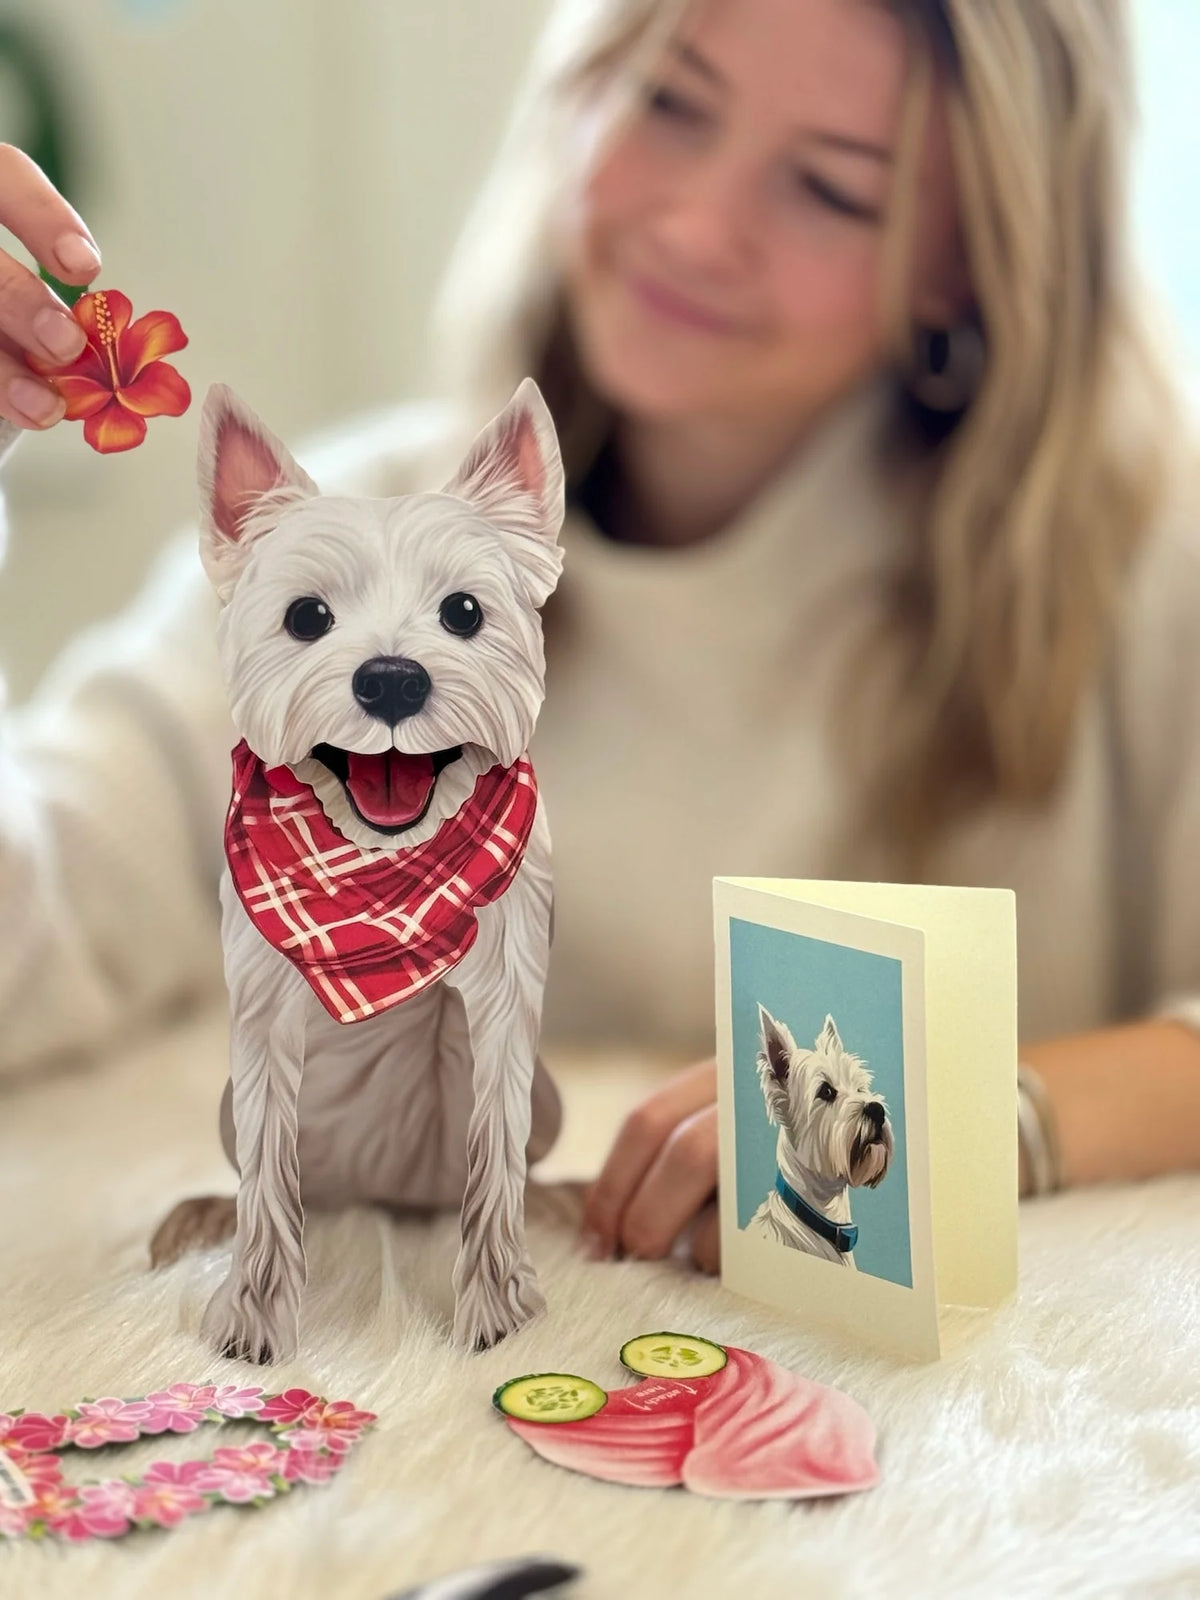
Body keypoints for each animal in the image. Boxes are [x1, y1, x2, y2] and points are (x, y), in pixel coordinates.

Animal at [155, 374, 569, 1363]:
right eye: (307, 616)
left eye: (465, 611)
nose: (391, 679)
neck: (379, 873)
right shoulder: (262, 1014)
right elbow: (269, 1174)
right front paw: (252, 1316)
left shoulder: (508, 1000)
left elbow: (495, 1153)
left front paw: (497, 1305)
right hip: (227, 1106)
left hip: (553, 1099)